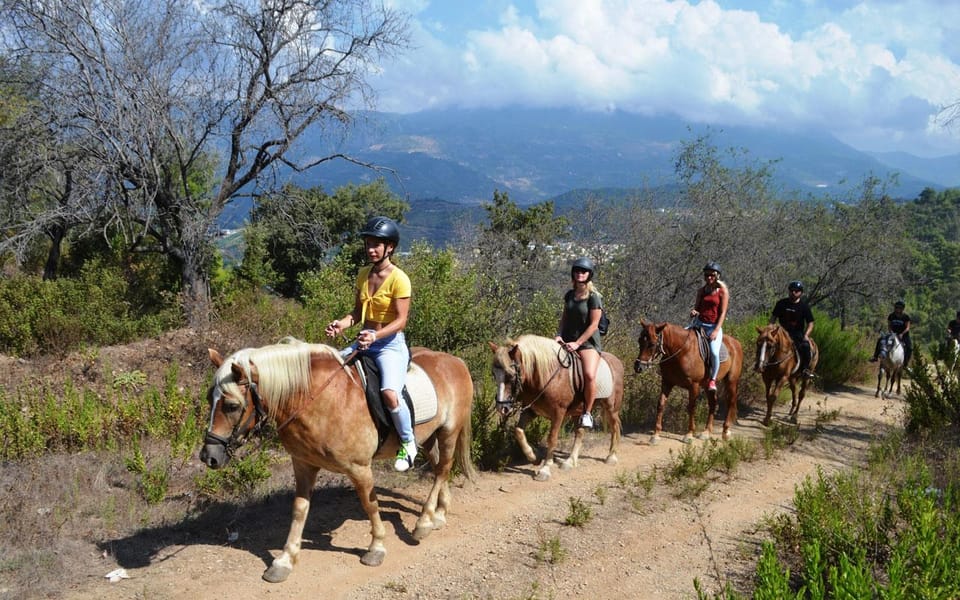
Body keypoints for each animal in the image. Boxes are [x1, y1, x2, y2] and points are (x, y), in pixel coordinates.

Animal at [200, 340, 476, 584]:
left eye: (232, 406)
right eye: (209, 399)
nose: (208, 456)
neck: (318, 400)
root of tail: (456, 361)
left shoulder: (359, 468)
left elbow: (370, 504)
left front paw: (376, 547)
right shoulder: (303, 464)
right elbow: (299, 509)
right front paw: (285, 560)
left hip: (448, 432)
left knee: (442, 470)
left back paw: (424, 521)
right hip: (428, 438)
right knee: (440, 468)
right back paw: (439, 514)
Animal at [492, 336, 628, 480]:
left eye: (511, 375)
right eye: (494, 374)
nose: (502, 407)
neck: (547, 375)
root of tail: (617, 361)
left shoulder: (558, 413)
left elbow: (552, 438)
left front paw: (545, 469)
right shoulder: (531, 410)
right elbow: (518, 431)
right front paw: (534, 457)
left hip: (611, 408)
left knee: (615, 427)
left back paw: (611, 456)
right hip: (579, 411)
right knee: (580, 432)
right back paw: (570, 461)